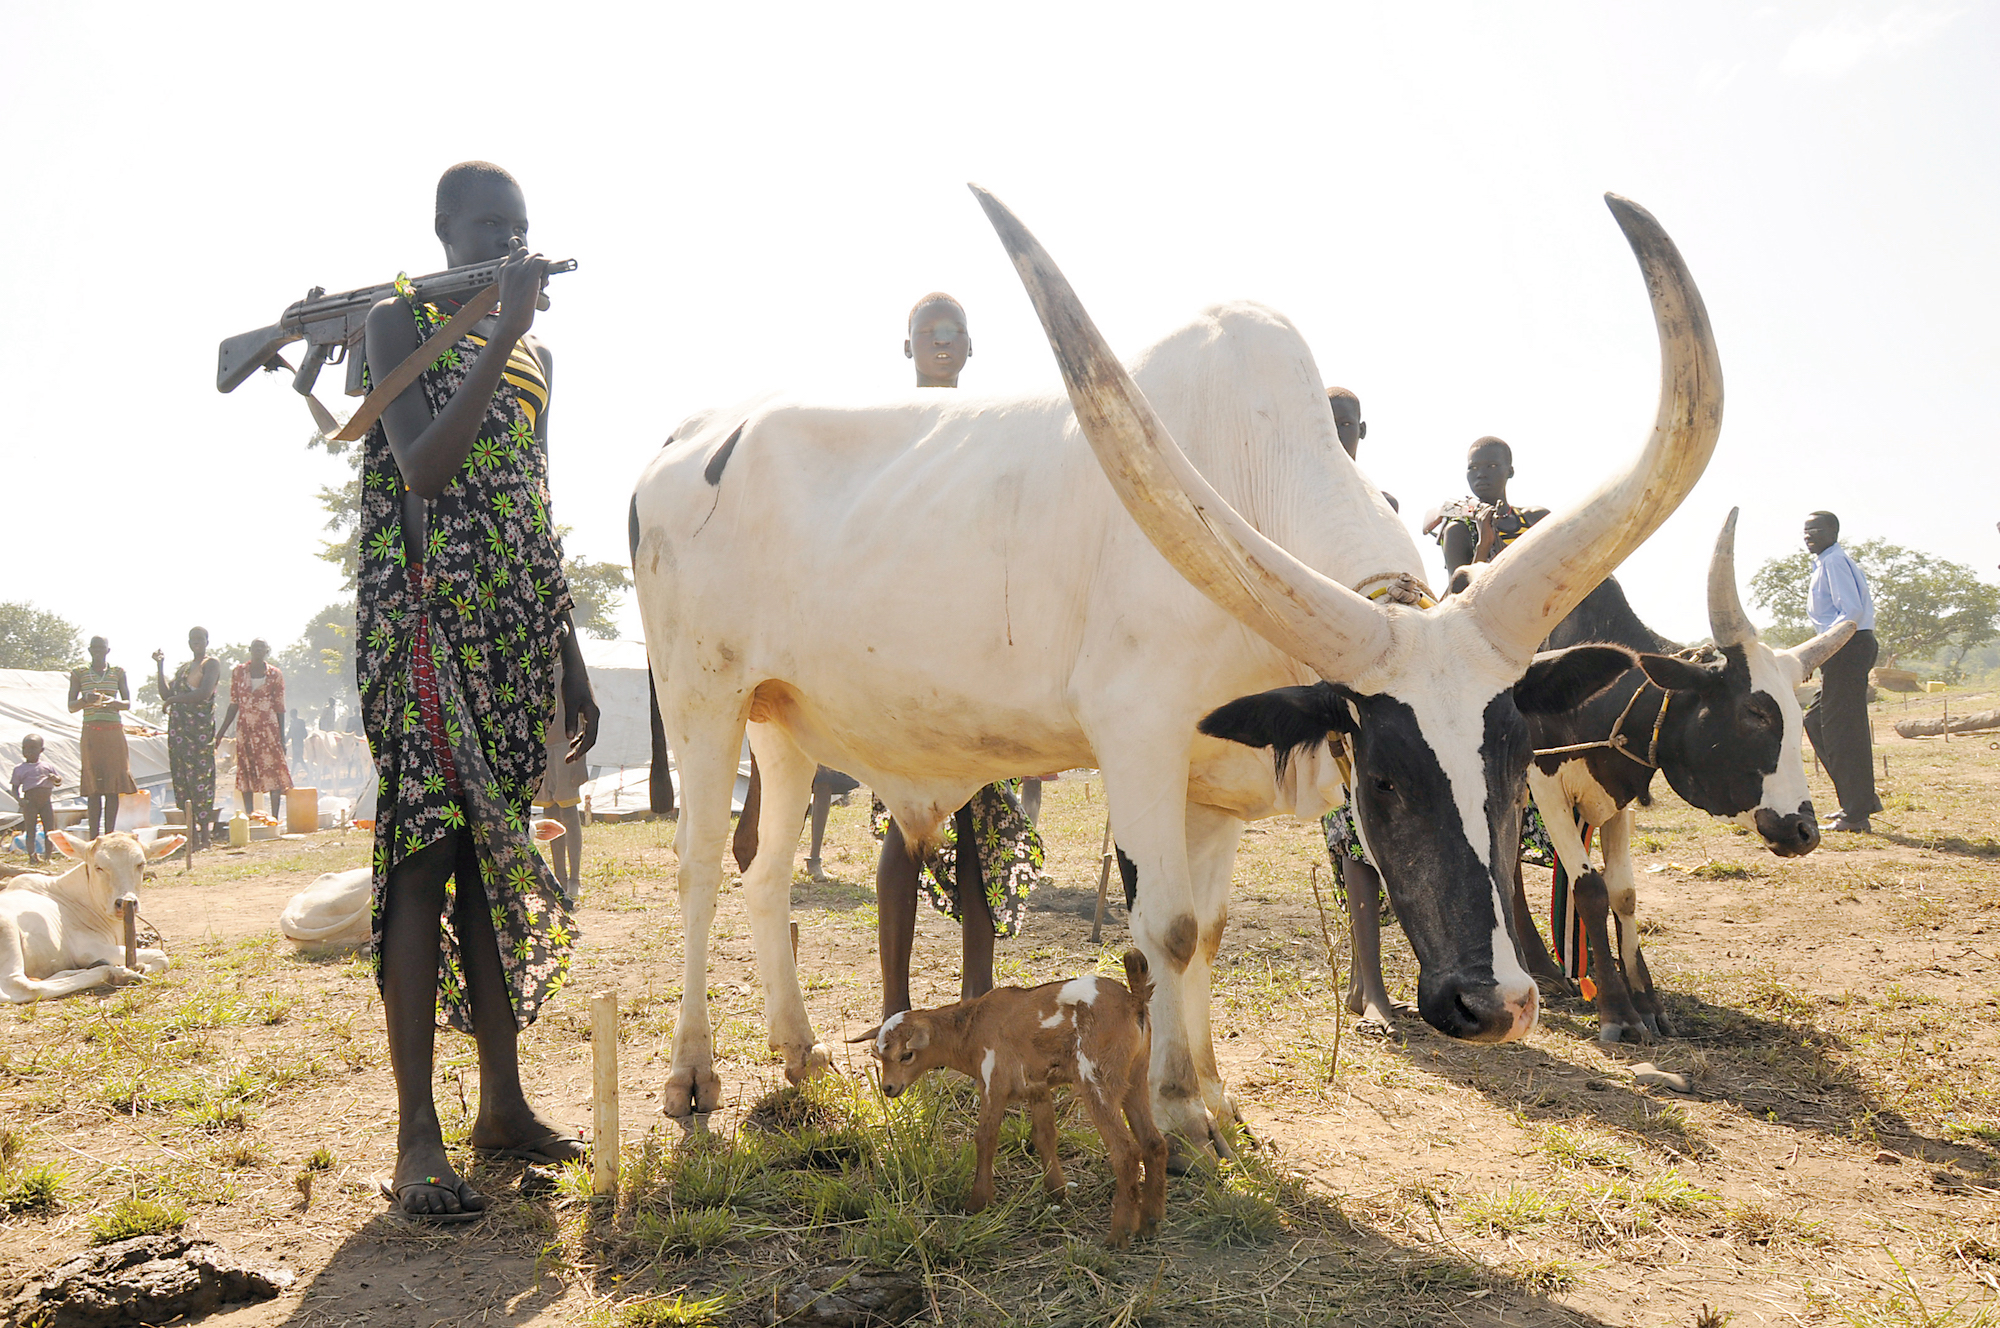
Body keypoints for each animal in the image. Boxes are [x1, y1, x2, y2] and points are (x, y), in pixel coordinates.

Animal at [0, 836, 187, 1000]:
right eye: (99, 867)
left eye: (141, 864)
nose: (125, 902)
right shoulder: (89, 949)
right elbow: (161, 956)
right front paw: (138, 968)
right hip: (8, 931)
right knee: (22, 986)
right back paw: (117, 973)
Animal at [632, 192, 1728, 1144]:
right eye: (1382, 778)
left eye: (1509, 765)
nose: (1492, 1002)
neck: (1256, 461)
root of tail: (686, 438)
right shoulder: (1139, 741)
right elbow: (1159, 929)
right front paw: (1171, 1106)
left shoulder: (1216, 774)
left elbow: (1206, 930)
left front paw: (1211, 1093)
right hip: (699, 696)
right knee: (698, 864)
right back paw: (692, 1077)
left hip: (780, 716)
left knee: (766, 870)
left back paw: (800, 1049)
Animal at [860, 948, 1168, 1248]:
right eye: (879, 1056)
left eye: (906, 1055)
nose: (888, 1087)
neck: (971, 1029)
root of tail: (1134, 1000)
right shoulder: (1038, 1086)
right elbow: (1044, 1135)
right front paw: (1056, 1192)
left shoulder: (993, 1081)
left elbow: (985, 1138)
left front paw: (977, 1202)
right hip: (1135, 1076)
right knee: (1153, 1142)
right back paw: (1149, 1225)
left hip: (1096, 1076)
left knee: (1125, 1152)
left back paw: (1118, 1236)